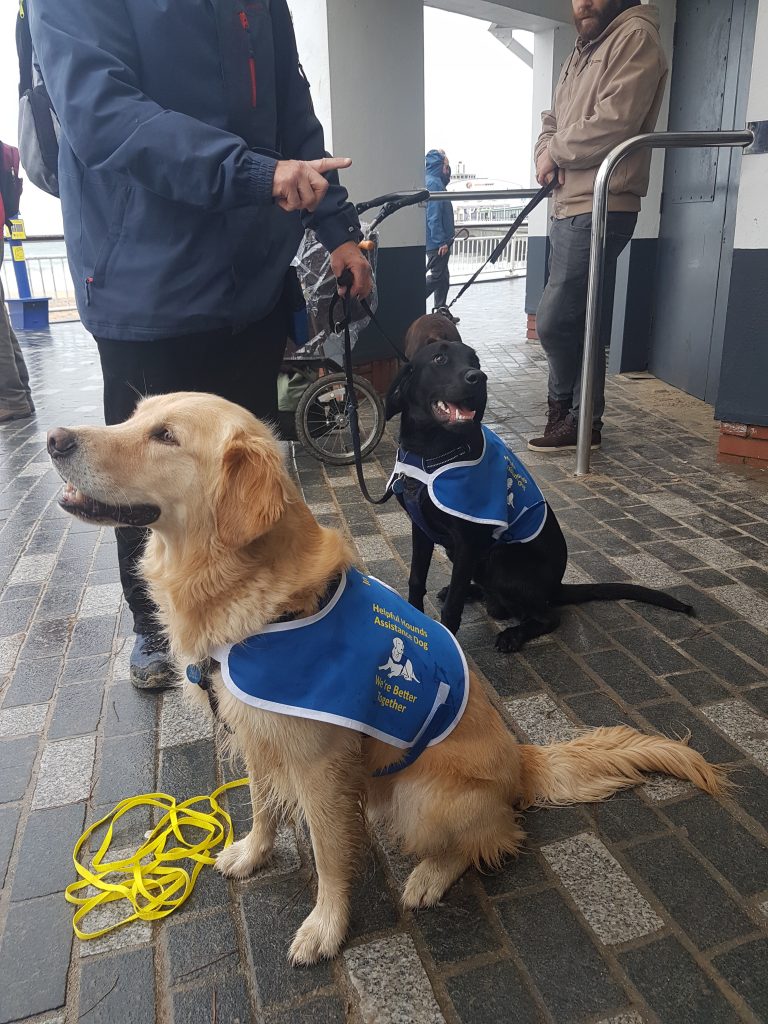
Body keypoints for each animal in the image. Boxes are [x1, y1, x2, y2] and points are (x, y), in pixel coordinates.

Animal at [49, 395, 729, 962]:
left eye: (164, 435)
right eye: (133, 415)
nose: (55, 438)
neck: (255, 602)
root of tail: (523, 760)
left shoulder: (320, 763)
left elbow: (329, 854)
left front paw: (325, 927)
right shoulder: (257, 735)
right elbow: (263, 806)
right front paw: (252, 853)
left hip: (419, 795)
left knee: (494, 834)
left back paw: (429, 876)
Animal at [387, 339, 696, 651]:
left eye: (475, 362)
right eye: (439, 359)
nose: (478, 378)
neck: (430, 453)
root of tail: (555, 587)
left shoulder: (467, 542)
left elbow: (452, 607)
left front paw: (446, 642)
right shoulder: (421, 530)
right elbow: (416, 579)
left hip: (501, 559)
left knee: (548, 617)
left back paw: (512, 634)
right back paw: (476, 593)